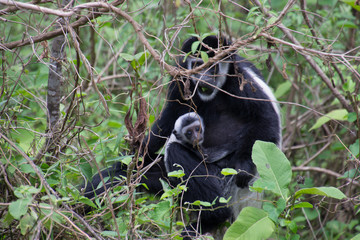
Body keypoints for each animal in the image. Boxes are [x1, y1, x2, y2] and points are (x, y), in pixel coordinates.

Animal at [83, 34, 282, 235]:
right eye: (198, 65)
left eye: (213, 67)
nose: (204, 79)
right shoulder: (181, 78)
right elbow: (168, 119)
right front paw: (133, 156)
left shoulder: (242, 82)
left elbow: (265, 119)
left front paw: (243, 168)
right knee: (119, 177)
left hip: (223, 180)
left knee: (177, 152)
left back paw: (211, 219)